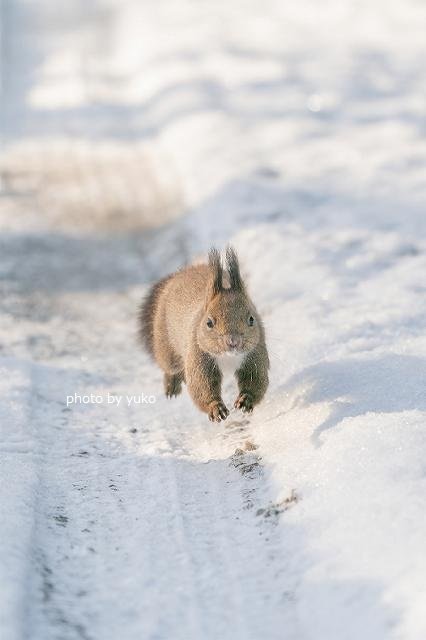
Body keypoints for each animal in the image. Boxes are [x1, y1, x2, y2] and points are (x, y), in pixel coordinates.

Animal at [140, 248, 270, 422]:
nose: (233, 341)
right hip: (165, 342)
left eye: (251, 319)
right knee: (169, 366)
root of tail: (179, 275)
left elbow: (256, 380)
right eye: (209, 322)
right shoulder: (198, 357)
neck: (228, 357)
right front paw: (216, 408)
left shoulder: (255, 355)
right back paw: (171, 385)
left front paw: (245, 399)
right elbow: (201, 387)